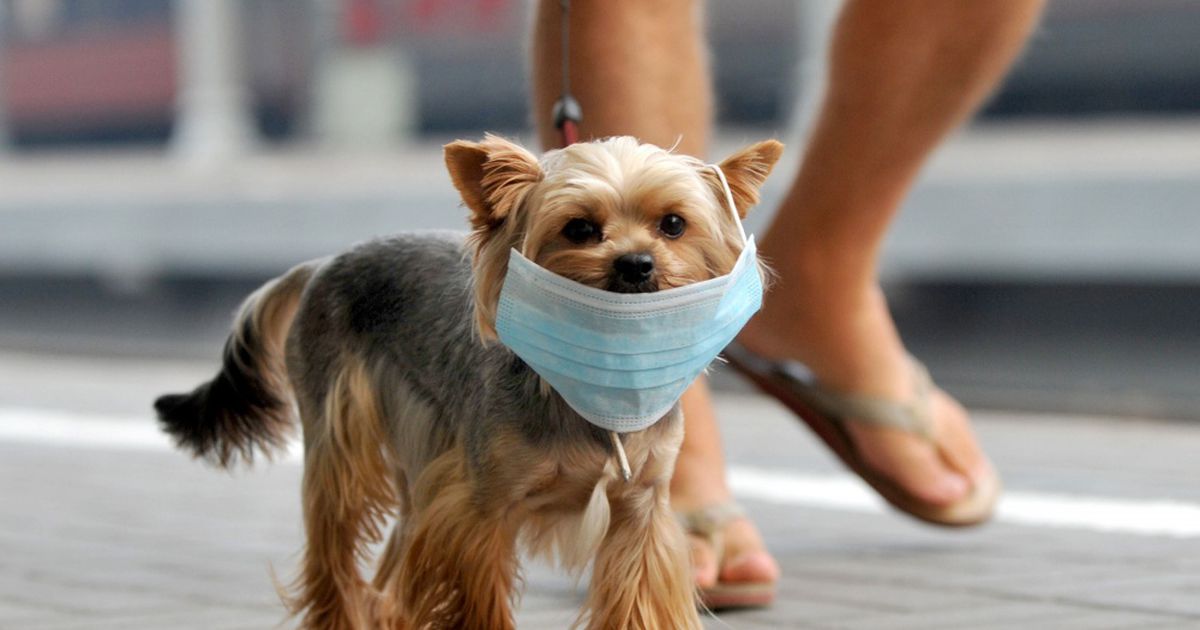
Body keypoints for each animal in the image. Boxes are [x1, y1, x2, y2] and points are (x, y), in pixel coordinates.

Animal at [152, 135, 777, 624]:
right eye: (579, 229)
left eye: (673, 224)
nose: (636, 264)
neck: (594, 384)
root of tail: (324, 264)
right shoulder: (480, 512)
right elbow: (478, 601)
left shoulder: (640, 515)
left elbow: (637, 601)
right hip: (340, 445)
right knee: (335, 554)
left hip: (419, 470)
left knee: (391, 566)